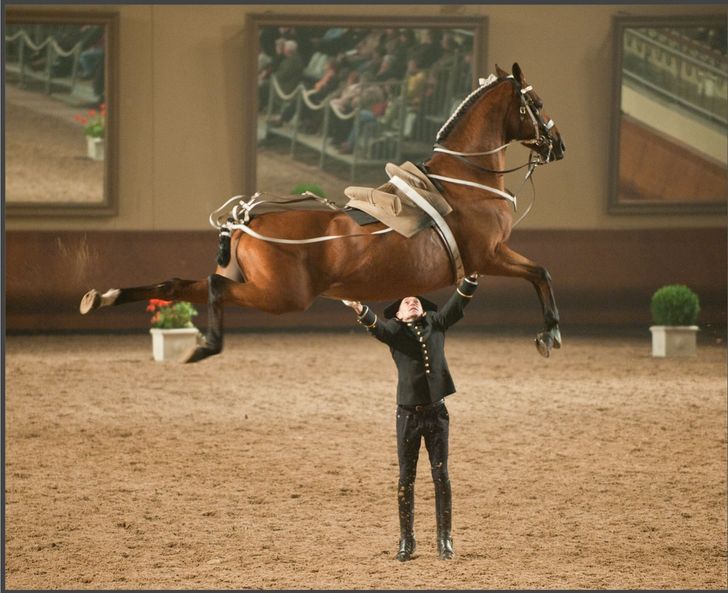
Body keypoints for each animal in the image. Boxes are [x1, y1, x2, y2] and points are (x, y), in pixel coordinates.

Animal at [82, 63, 564, 360]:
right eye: (537, 104)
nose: (558, 145)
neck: (465, 179)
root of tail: (245, 221)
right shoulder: (490, 255)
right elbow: (541, 272)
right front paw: (550, 332)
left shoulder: (488, 259)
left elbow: (538, 273)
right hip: (281, 296)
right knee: (214, 290)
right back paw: (206, 345)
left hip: (257, 286)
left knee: (177, 285)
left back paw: (103, 297)